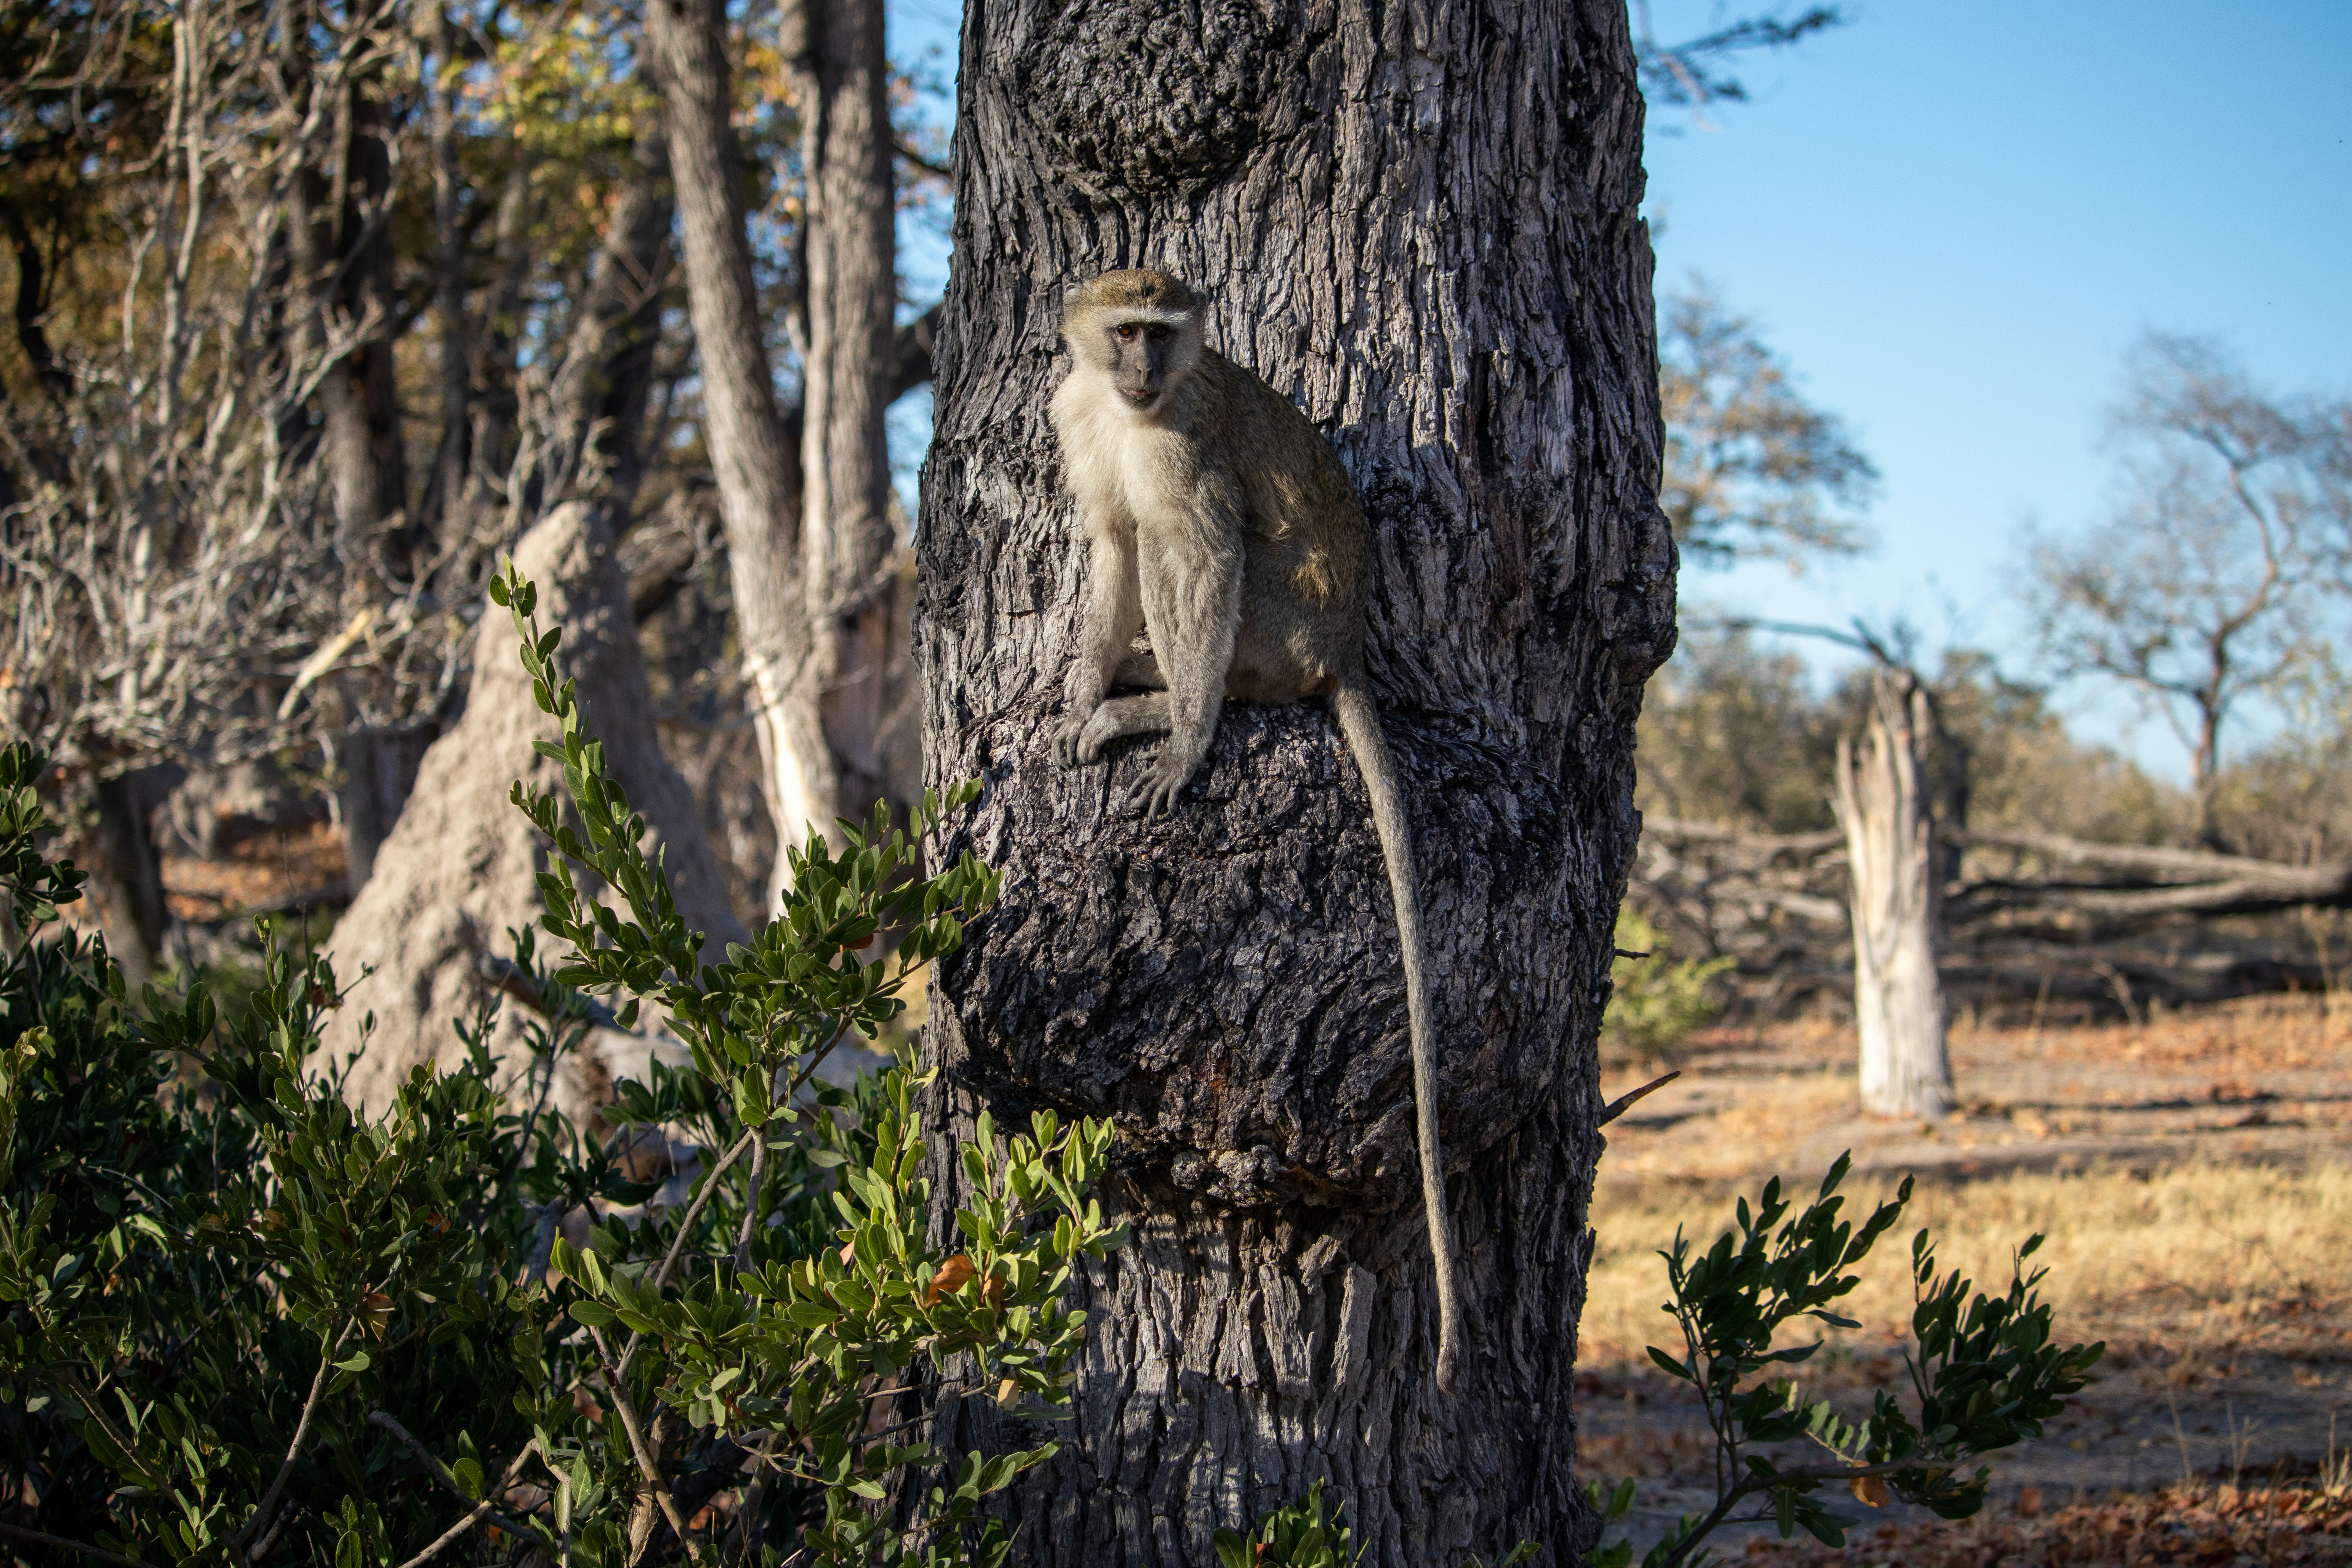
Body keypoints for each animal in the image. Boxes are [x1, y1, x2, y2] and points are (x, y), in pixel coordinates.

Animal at [1047, 268, 1465, 1394]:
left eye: (1162, 335)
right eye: (1125, 333)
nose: (1145, 371)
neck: (1128, 410)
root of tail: (1342, 646)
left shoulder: (1180, 443)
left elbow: (1197, 548)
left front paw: (1185, 737)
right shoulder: (1081, 417)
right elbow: (1110, 542)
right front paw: (1085, 684)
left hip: (1277, 627)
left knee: (1201, 558)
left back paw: (1164, 703)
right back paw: (1130, 675)